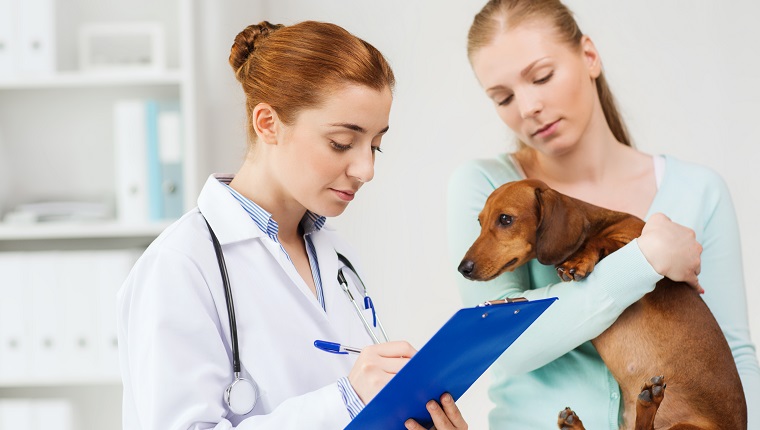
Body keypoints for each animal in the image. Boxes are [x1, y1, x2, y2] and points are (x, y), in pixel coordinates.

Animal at [454, 179, 744, 430]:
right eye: (479, 222)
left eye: (505, 219)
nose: (463, 268)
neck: (594, 223)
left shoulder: (635, 237)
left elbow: (601, 240)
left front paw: (579, 261)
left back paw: (649, 401)